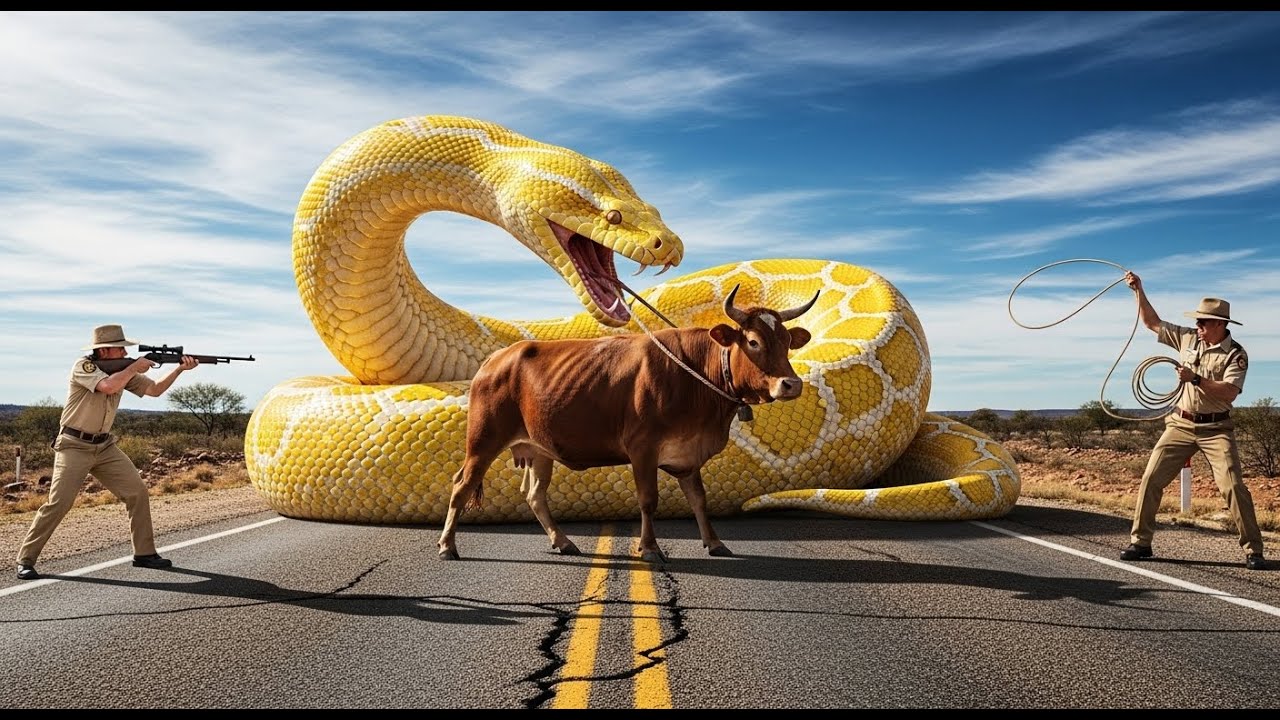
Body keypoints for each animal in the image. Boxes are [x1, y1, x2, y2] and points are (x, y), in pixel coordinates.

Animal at [436, 284, 819, 562]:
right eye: (753, 341)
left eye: (787, 341)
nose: (791, 384)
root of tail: (497, 358)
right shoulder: (642, 449)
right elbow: (648, 499)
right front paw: (649, 548)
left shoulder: (688, 453)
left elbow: (699, 499)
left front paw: (714, 543)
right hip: (483, 439)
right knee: (462, 485)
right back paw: (447, 546)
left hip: (538, 448)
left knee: (534, 494)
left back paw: (563, 541)